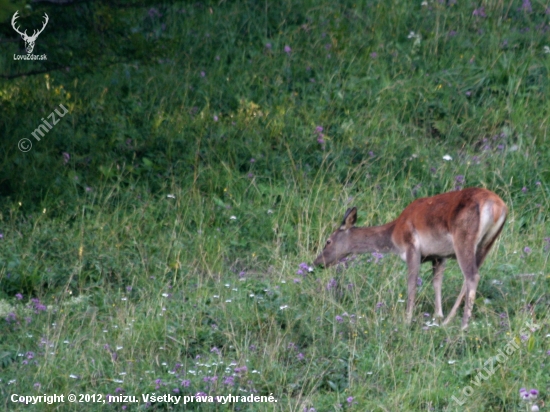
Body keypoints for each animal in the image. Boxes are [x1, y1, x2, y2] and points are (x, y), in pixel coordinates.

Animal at [314, 188, 508, 330]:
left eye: (328, 241)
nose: (317, 263)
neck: (393, 235)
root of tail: (497, 206)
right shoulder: (439, 255)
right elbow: (436, 282)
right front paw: (438, 315)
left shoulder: (411, 247)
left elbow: (411, 284)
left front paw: (407, 320)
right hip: (487, 243)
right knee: (469, 278)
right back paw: (448, 321)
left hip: (464, 238)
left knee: (472, 276)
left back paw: (463, 326)